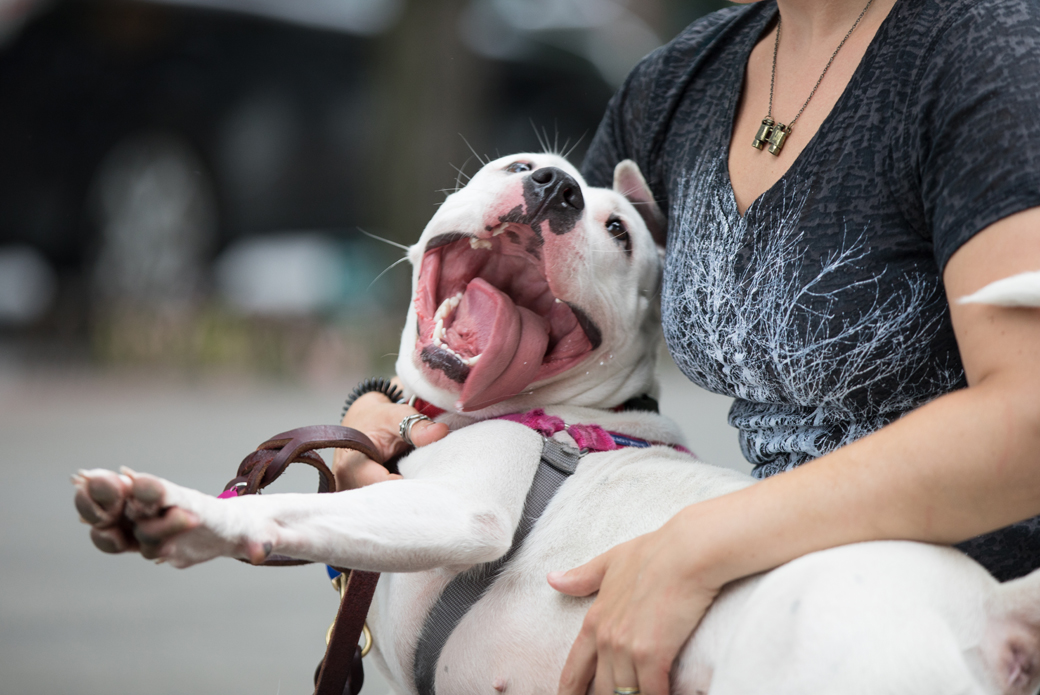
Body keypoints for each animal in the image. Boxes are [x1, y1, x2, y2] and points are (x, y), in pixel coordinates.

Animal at [73, 152, 1040, 695]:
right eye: (519, 163)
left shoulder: (463, 511)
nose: (553, 189)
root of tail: (994, 607)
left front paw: (186, 513)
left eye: (618, 230)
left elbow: (296, 508)